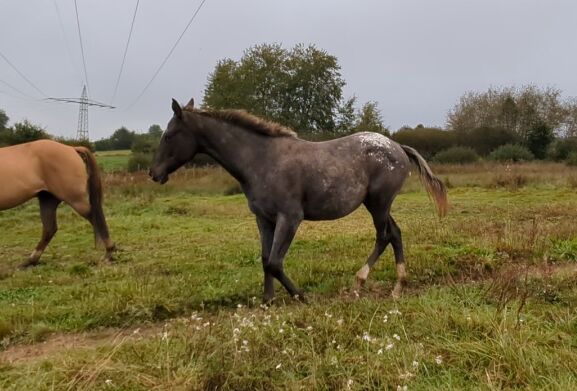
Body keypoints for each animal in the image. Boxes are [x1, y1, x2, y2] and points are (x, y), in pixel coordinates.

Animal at [0, 141, 115, 270]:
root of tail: (72, 148)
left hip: (75, 200)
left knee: (96, 218)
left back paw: (109, 253)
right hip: (48, 199)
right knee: (49, 229)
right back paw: (30, 261)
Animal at [148, 99, 446, 304]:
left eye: (169, 135)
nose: (154, 173)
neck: (261, 160)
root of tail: (398, 147)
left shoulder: (289, 218)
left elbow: (274, 262)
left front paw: (301, 297)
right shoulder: (263, 219)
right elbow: (265, 258)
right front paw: (268, 301)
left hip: (379, 203)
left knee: (384, 235)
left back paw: (362, 283)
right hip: (376, 204)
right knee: (394, 233)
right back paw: (394, 287)